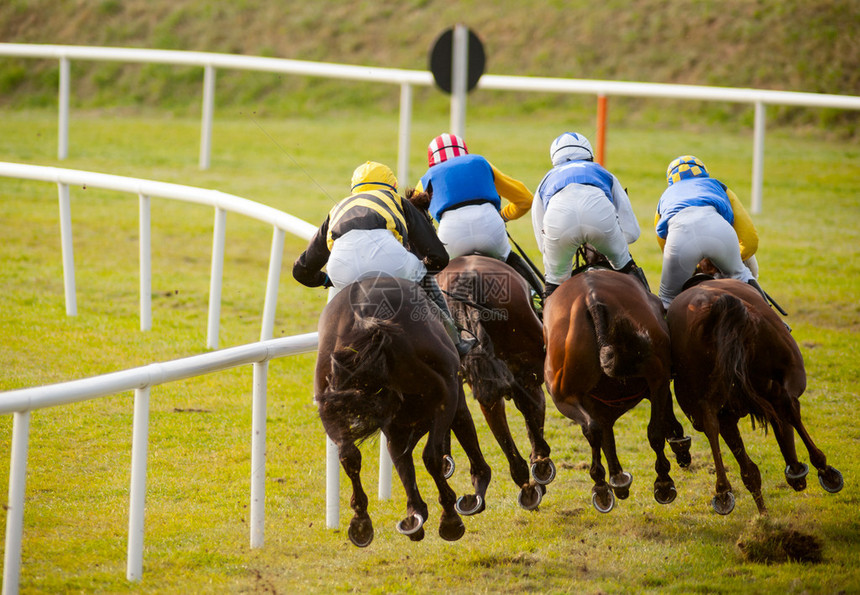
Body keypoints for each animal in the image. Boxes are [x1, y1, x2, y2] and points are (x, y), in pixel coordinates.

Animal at [314, 278, 490, 548]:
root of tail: (365, 317)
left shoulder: (395, 422)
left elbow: (400, 458)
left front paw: (415, 515)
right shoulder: (451, 393)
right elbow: (459, 429)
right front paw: (475, 491)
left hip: (328, 402)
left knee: (348, 455)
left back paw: (361, 522)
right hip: (445, 388)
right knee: (431, 454)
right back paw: (450, 518)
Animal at [544, 258, 692, 516]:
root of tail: (591, 298)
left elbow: (606, 434)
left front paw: (617, 480)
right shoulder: (657, 383)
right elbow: (664, 419)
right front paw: (680, 446)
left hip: (562, 395)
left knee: (593, 429)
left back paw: (602, 487)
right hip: (655, 373)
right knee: (648, 431)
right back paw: (660, 483)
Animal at [668, 278, 844, 516]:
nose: (798, 481)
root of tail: (718, 305)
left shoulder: (729, 415)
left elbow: (748, 465)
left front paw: (762, 510)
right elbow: (785, 421)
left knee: (714, 425)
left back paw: (725, 493)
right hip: (791, 370)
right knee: (788, 407)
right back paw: (823, 470)